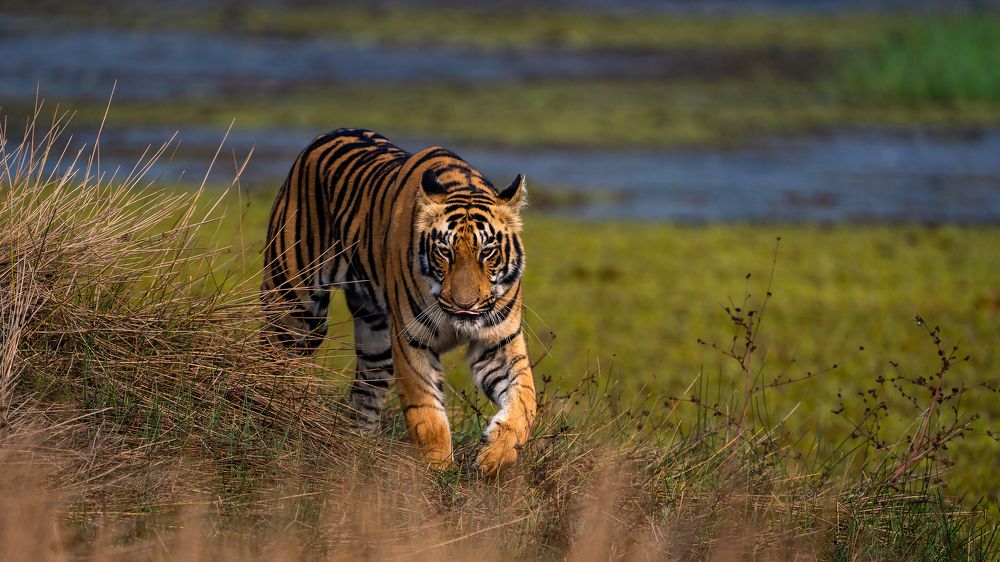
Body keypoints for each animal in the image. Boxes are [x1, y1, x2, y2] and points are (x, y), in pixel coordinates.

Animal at [261, 128, 536, 473]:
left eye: (487, 252)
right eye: (444, 252)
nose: (465, 305)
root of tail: (326, 134)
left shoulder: (498, 341)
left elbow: (525, 401)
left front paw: (495, 457)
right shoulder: (412, 340)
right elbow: (427, 414)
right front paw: (437, 470)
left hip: (373, 337)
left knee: (365, 390)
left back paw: (358, 446)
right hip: (294, 305)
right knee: (273, 354)